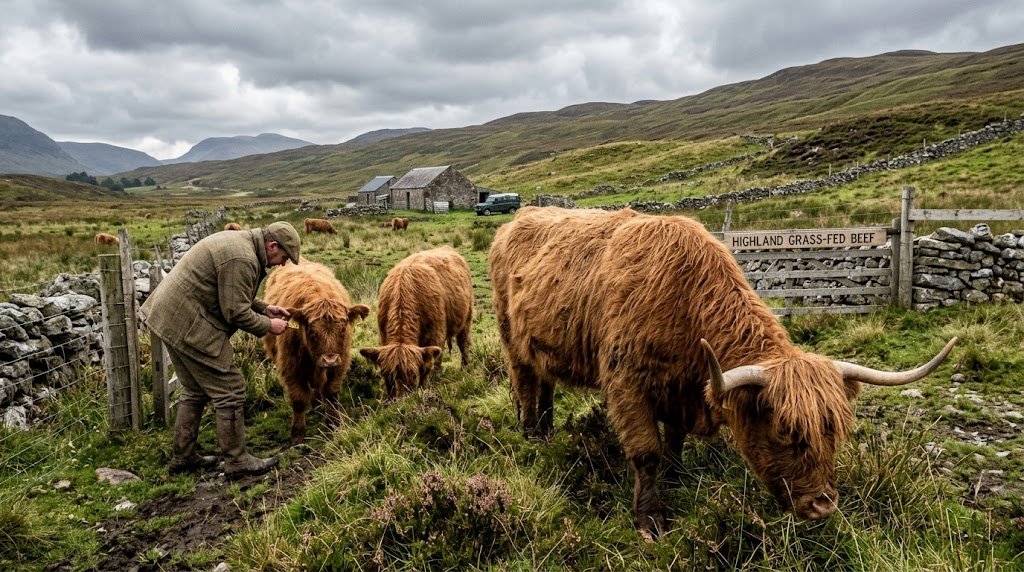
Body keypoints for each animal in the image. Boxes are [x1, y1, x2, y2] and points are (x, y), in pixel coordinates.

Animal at [263, 260, 370, 444]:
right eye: (312, 331)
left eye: (343, 328)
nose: (330, 360)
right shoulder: (290, 367)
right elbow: (299, 400)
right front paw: (297, 435)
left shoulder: (340, 364)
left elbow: (331, 394)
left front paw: (334, 425)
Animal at [359, 246, 473, 399]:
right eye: (386, 375)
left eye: (413, 374)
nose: (401, 399)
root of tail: (446, 247)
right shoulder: (383, 336)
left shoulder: (435, 336)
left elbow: (429, 366)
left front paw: (423, 389)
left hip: (466, 318)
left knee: (463, 343)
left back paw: (464, 368)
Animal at [489, 206, 955, 537]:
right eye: (784, 430)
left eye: (835, 429)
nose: (823, 506)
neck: (684, 303)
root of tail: (521, 215)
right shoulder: (627, 383)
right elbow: (647, 453)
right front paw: (650, 519)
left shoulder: (680, 389)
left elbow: (674, 442)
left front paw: (677, 479)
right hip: (511, 337)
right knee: (525, 382)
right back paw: (531, 434)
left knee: (545, 382)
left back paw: (547, 428)